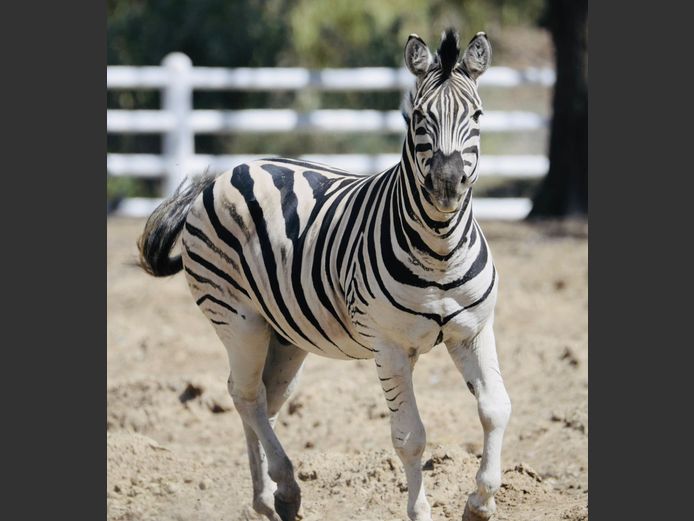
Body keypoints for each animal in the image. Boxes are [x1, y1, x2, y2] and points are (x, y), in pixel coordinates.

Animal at [138, 29, 511, 521]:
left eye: (478, 115)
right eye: (418, 116)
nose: (447, 185)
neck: (440, 249)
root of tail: (231, 170)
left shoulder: (473, 330)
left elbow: (495, 408)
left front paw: (481, 502)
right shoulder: (389, 348)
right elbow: (410, 437)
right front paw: (420, 510)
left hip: (285, 334)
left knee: (262, 399)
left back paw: (266, 496)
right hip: (237, 318)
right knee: (246, 394)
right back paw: (284, 489)